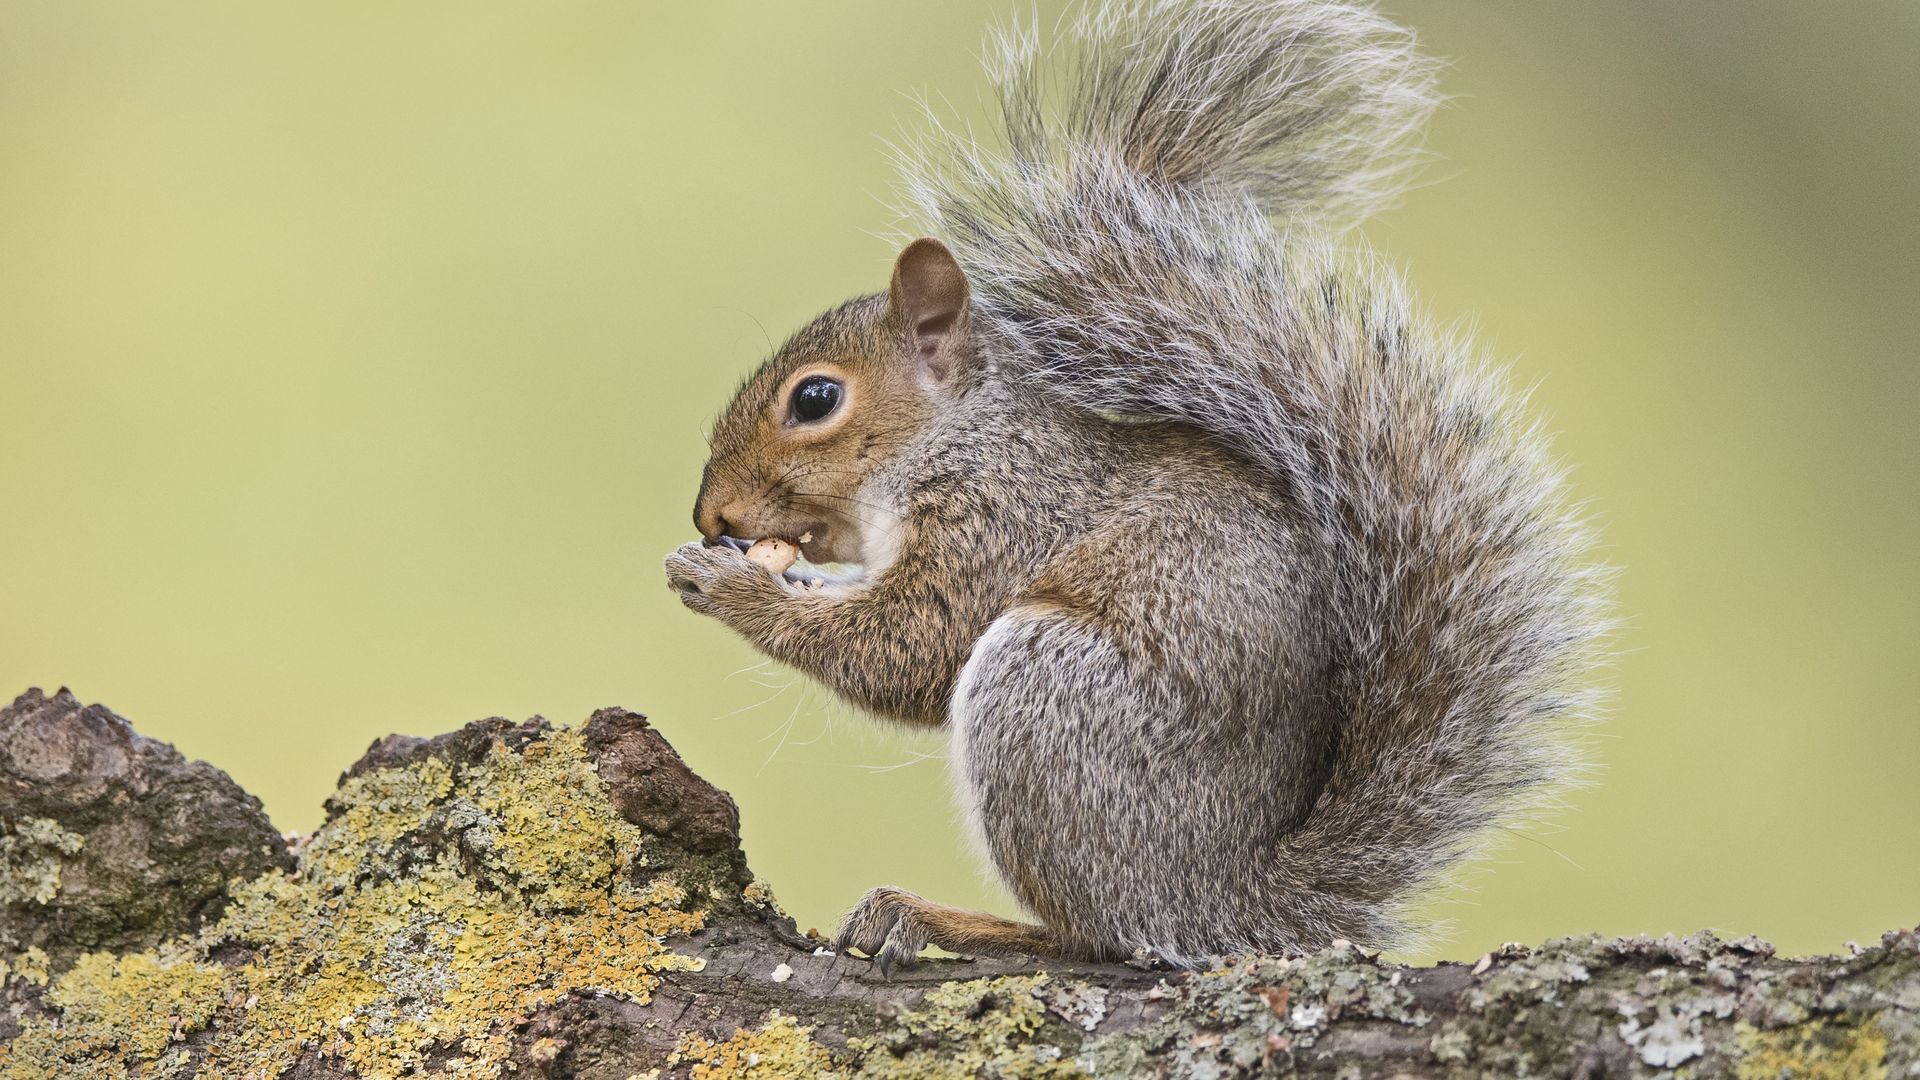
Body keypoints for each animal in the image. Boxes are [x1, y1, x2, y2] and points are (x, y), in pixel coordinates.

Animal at [665, 0, 1607, 971]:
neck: (955, 436)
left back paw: (943, 918)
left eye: (815, 399)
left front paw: (731, 587)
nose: (711, 513)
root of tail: (1230, 905)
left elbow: (912, 646)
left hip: (1049, 701)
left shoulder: (1006, 512)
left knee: (1096, 934)